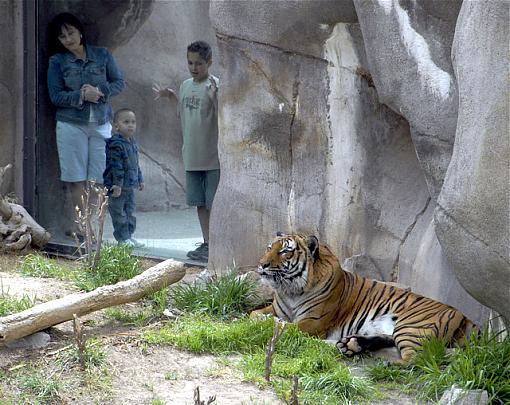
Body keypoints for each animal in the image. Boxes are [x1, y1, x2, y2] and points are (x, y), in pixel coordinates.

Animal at [251, 232, 478, 362]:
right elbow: (253, 314)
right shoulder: (276, 308)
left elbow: (288, 327)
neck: (291, 290)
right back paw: (352, 344)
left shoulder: (313, 323)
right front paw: (262, 318)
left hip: (412, 327)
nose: (261, 264)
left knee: (418, 359)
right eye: (270, 247)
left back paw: (388, 364)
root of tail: (464, 316)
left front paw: (271, 323)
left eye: (285, 252)